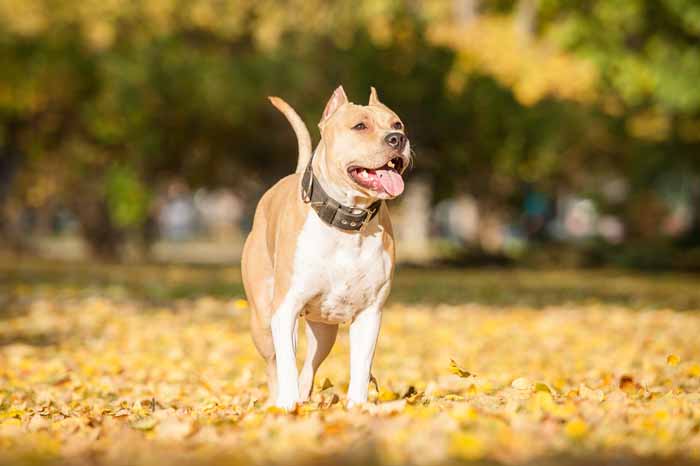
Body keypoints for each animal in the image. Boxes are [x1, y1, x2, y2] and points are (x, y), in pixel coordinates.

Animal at [245, 85, 412, 410]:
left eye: (397, 124)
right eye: (360, 126)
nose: (397, 139)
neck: (347, 220)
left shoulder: (370, 314)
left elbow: (361, 367)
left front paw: (357, 408)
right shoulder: (285, 310)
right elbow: (285, 363)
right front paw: (287, 406)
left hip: (324, 330)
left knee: (309, 366)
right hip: (262, 321)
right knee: (274, 363)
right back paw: (279, 401)